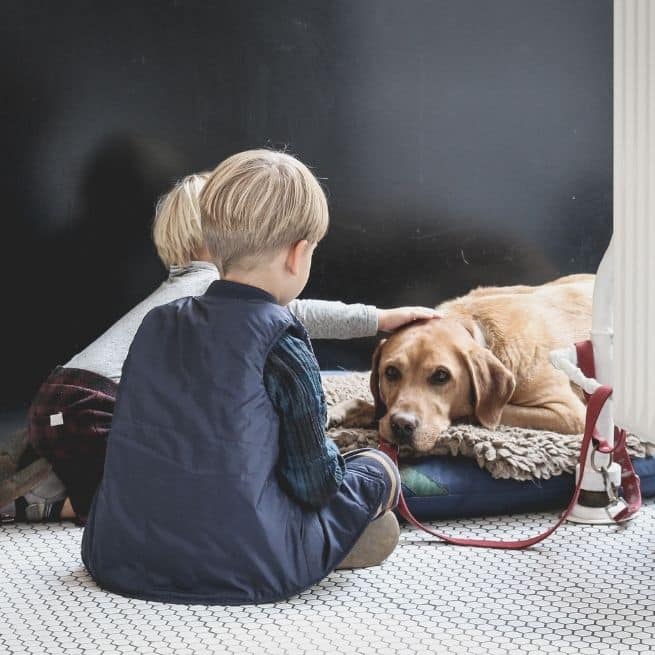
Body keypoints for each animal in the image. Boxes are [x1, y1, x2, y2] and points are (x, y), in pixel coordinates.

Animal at [336, 274, 596, 454]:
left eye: (441, 376)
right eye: (391, 372)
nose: (401, 425)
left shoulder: (569, 413)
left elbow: (477, 411)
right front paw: (348, 410)